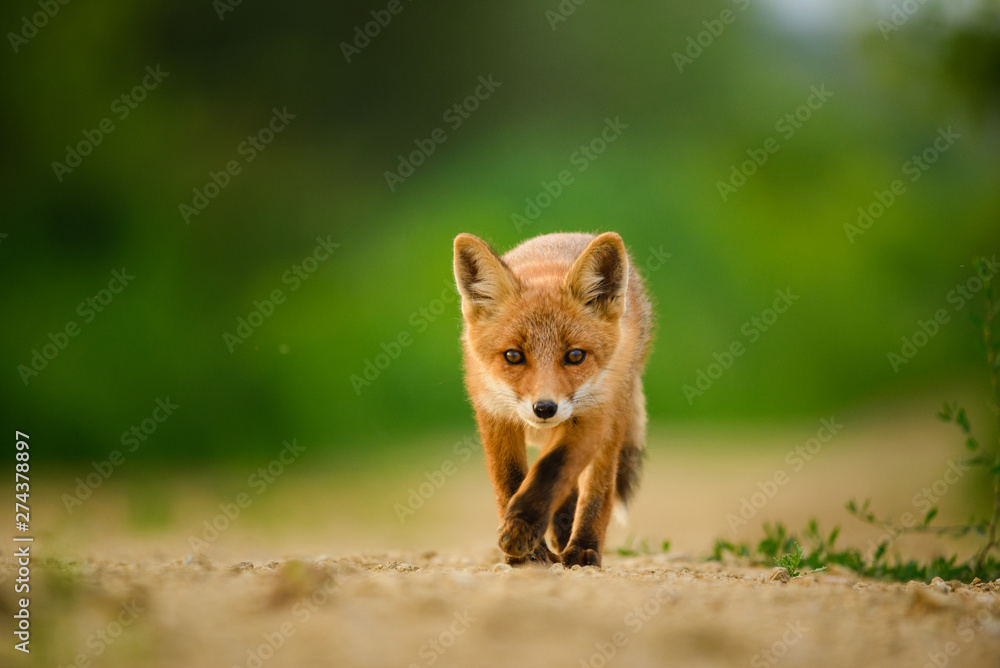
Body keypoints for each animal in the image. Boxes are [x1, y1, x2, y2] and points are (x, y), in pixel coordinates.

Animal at [453, 231, 653, 568]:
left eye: (575, 356)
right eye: (513, 356)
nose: (545, 408)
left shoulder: (593, 415)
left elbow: (552, 469)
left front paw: (523, 528)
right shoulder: (494, 414)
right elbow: (510, 479)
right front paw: (530, 549)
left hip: (614, 419)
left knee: (597, 487)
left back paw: (582, 547)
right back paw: (560, 528)